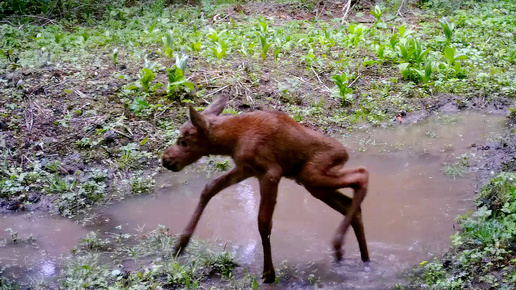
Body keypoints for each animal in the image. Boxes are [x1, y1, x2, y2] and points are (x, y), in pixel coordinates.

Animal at [163, 96, 368, 282]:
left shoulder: (270, 173)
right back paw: (362, 257)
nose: (165, 160)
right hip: (314, 184)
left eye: (183, 141)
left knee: (362, 174)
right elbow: (209, 188)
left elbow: (263, 222)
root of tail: (344, 153)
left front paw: (269, 273)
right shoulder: (245, 169)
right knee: (351, 203)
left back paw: (339, 246)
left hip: (313, 175)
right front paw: (180, 245)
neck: (232, 140)